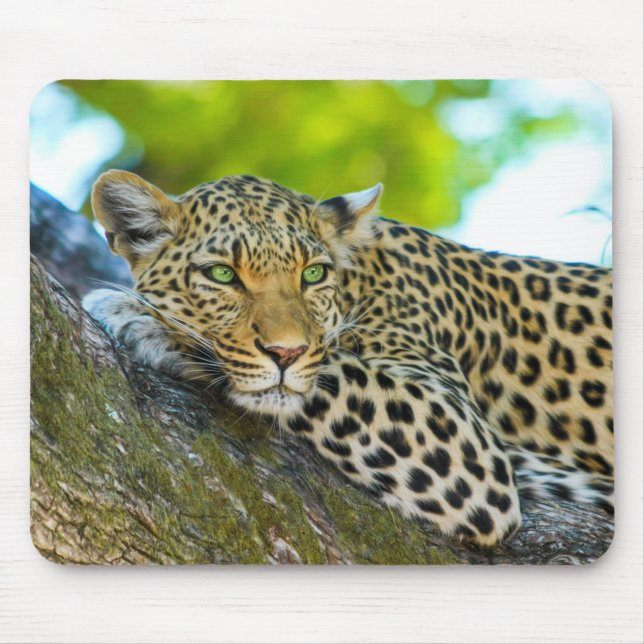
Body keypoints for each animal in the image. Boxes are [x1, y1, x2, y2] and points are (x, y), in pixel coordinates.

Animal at [83, 170, 614, 546]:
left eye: (313, 274)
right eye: (221, 274)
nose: (286, 352)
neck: (361, 281)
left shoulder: (468, 445)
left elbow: (328, 371)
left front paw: (142, 318)